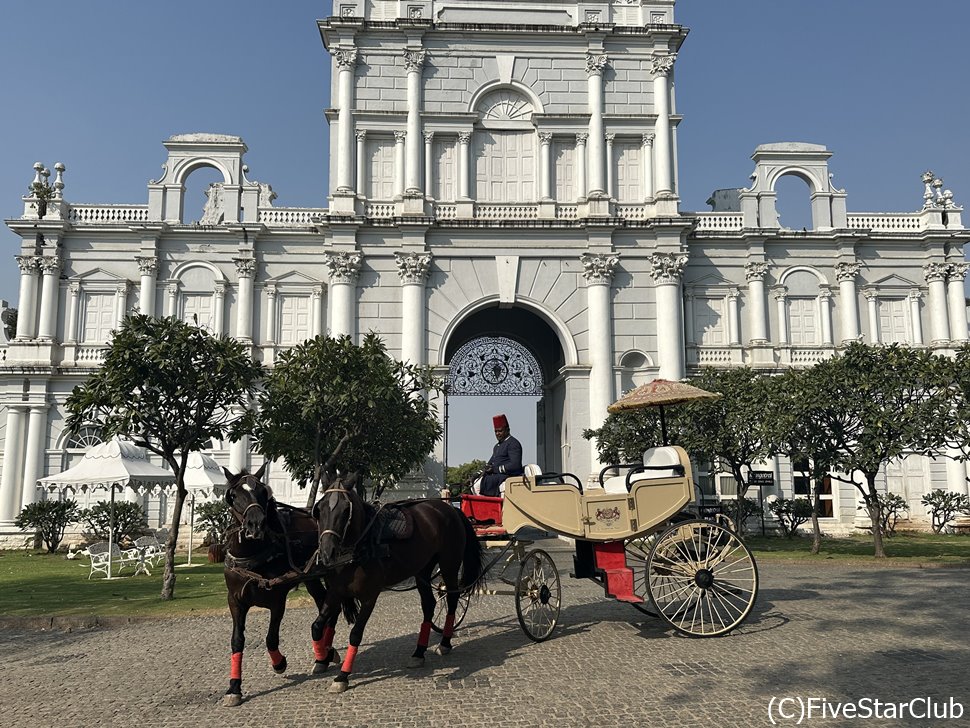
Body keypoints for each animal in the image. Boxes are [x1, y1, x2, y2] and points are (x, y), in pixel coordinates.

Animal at [221, 464, 354, 708]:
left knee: (331, 608)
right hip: (311, 578)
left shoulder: (277, 600)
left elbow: (271, 638)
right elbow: (237, 641)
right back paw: (324, 653)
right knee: (324, 602)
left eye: (263, 492)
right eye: (233, 496)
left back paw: (325, 652)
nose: (256, 524)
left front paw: (279, 663)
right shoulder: (234, 600)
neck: (252, 556)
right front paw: (234, 687)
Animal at [312, 478, 482, 692]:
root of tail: (450, 508)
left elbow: (355, 634)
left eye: (345, 510)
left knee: (452, 598)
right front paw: (323, 656)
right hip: (423, 569)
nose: (327, 552)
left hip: (449, 564)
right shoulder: (335, 592)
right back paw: (419, 652)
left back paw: (444, 642)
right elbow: (317, 626)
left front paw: (342, 675)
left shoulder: (369, 597)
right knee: (429, 604)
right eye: (320, 509)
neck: (359, 548)